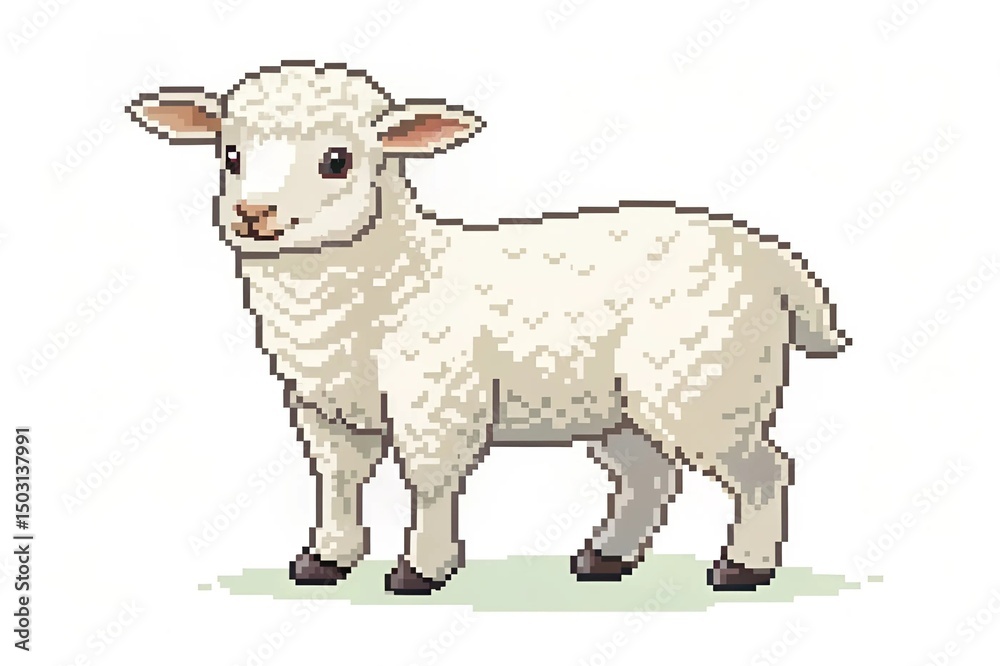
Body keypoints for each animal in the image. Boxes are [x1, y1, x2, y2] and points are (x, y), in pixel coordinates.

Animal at [127, 61, 849, 595]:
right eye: (229, 154)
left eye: (337, 160)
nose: (253, 214)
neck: (385, 279)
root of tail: (768, 256)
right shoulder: (324, 405)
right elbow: (337, 481)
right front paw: (325, 559)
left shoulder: (436, 399)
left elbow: (429, 482)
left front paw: (420, 569)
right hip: (624, 404)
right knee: (649, 475)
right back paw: (606, 558)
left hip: (704, 383)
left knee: (763, 472)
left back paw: (742, 568)